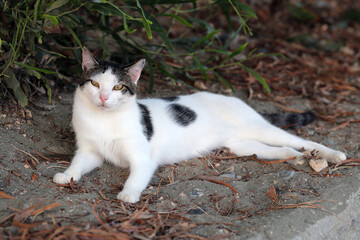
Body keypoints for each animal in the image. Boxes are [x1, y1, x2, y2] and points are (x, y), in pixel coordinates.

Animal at [52, 47, 346, 203]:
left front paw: (128, 194)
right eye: (94, 84)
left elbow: (136, 176)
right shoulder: (89, 151)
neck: (104, 120)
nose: (103, 97)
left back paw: (330, 154)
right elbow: (78, 163)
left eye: (117, 87)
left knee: (300, 140)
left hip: (260, 128)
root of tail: (236, 100)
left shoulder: (142, 158)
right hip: (242, 145)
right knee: (281, 149)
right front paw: (67, 176)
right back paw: (296, 157)